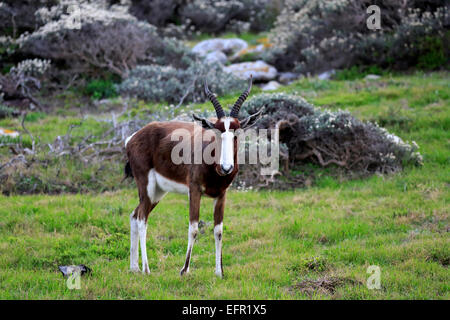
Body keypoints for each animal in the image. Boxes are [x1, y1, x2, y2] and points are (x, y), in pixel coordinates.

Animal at [125, 76, 262, 276]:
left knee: (134, 215)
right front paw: (184, 270)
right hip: (146, 187)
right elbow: (194, 228)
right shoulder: (195, 190)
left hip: (158, 192)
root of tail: (132, 138)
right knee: (142, 218)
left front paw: (219, 272)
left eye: (236, 133)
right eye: (216, 131)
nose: (226, 167)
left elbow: (218, 230)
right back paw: (146, 269)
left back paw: (134, 267)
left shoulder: (221, 194)